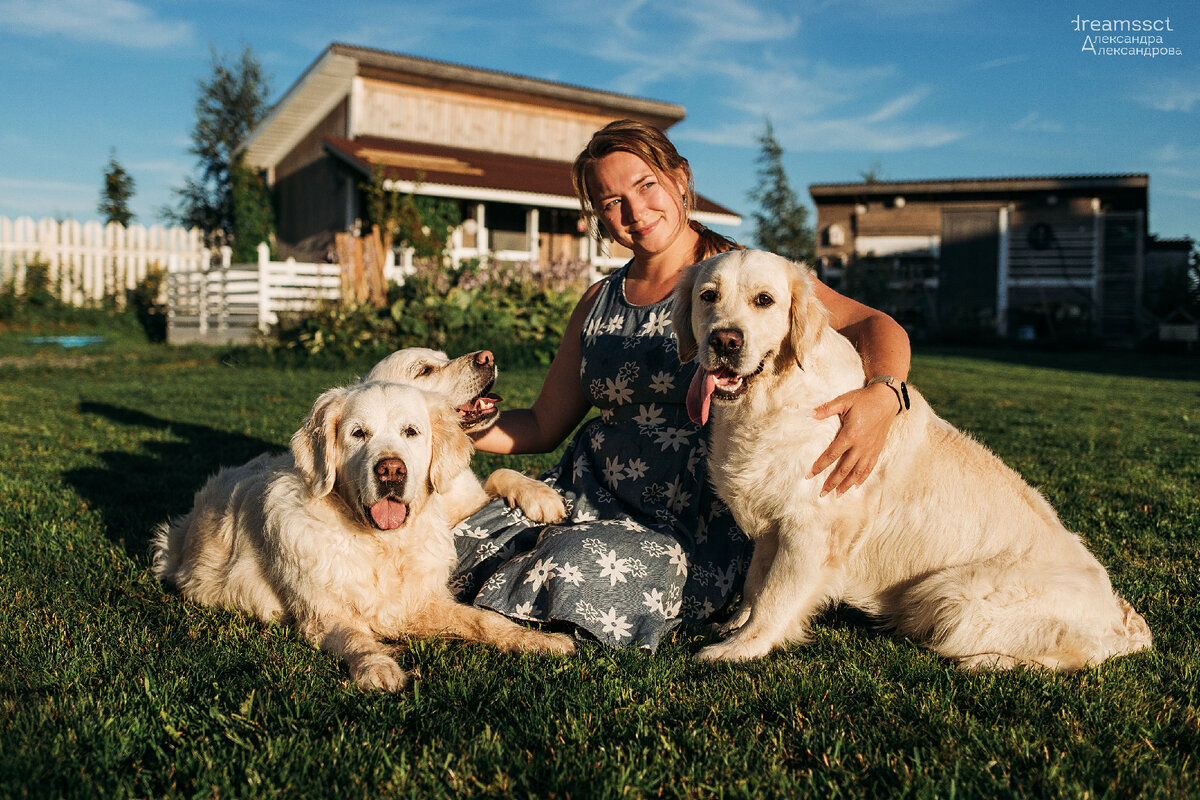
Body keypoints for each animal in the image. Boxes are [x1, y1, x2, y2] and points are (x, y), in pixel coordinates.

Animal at [152, 381, 573, 690]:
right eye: (358, 434)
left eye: (411, 432)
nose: (391, 470)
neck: (381, 545)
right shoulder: (323, 614)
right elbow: (356, 638)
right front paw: (377, 666)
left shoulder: (416, 603)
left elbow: (485, 621)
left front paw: (539, 641)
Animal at [676, 250, 1152, 671]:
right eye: (708, 296)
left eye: (764, 300)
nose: (724, 340)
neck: (773, 396)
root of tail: (1119, 617)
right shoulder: (774, 523)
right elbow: (756, 582)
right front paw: (734, 624)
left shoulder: (812, 526)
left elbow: (776, 597)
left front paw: (741, 647)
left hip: (954, 594)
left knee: (1071, 656)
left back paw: (986, 661)